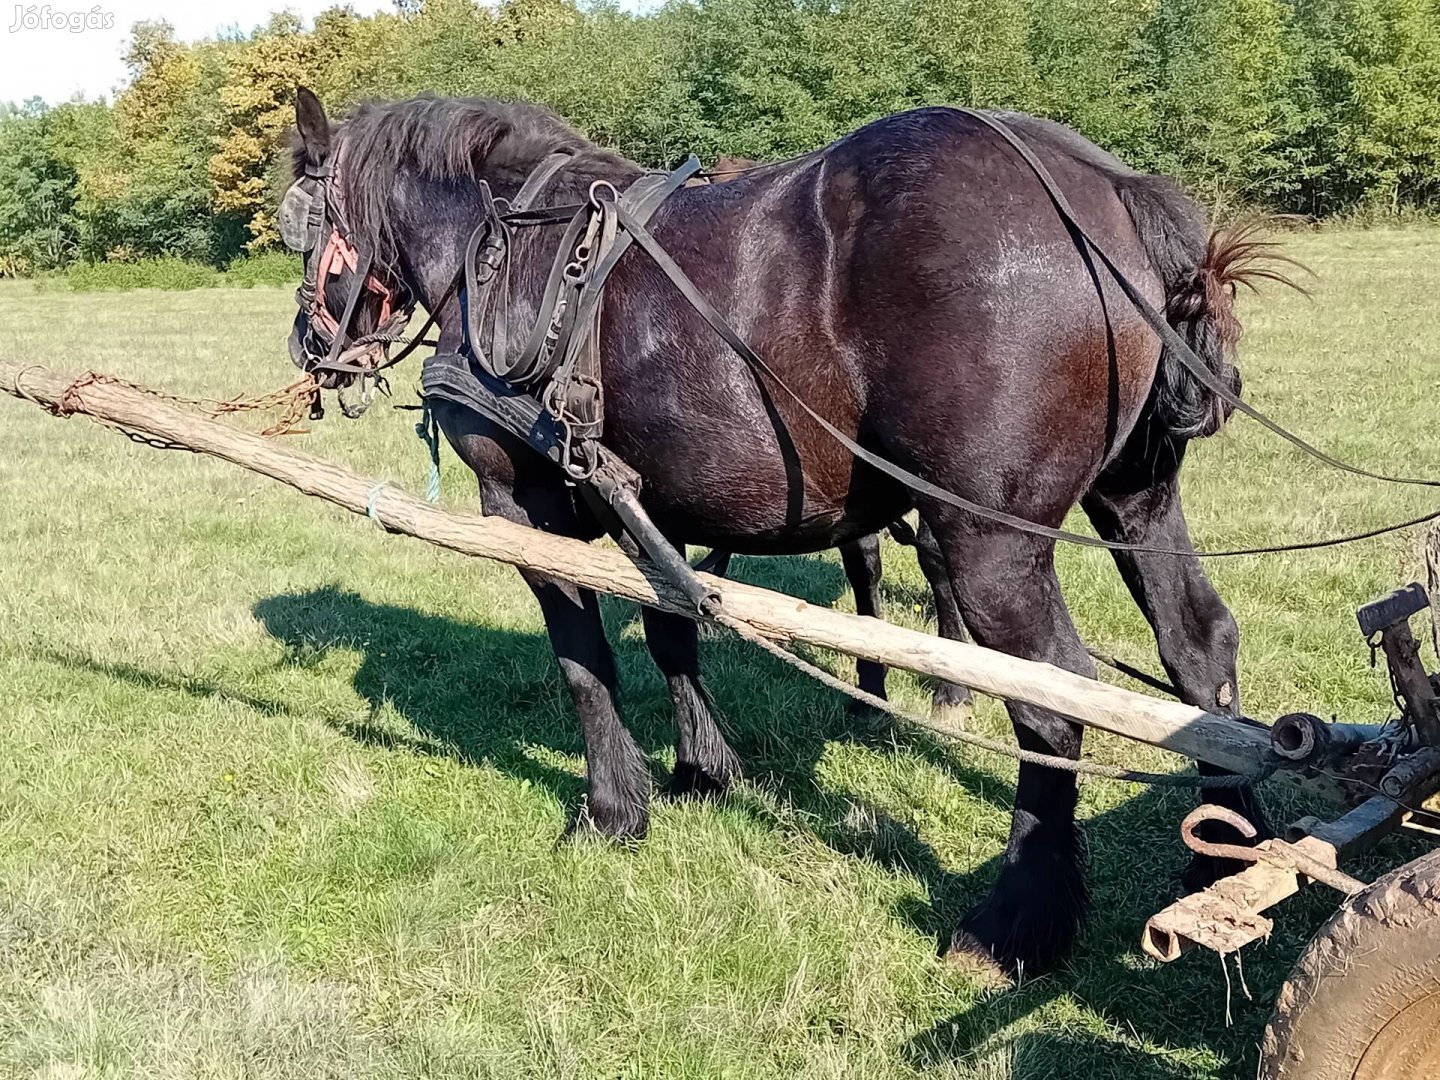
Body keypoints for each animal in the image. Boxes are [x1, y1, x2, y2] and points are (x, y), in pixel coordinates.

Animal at [280, 88, 1272, 979]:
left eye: (299, 223)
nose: (305, 346)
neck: (505, 249)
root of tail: (1101, 186)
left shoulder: (520, 508)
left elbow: (581, 657)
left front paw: (612, 809)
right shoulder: (650, 502)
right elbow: (671, 627)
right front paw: (703, 769)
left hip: (989, 539)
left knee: (1052, 700)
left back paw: (1015, 923)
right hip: (1134, 498)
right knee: (1198, 646)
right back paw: (1223, 860)